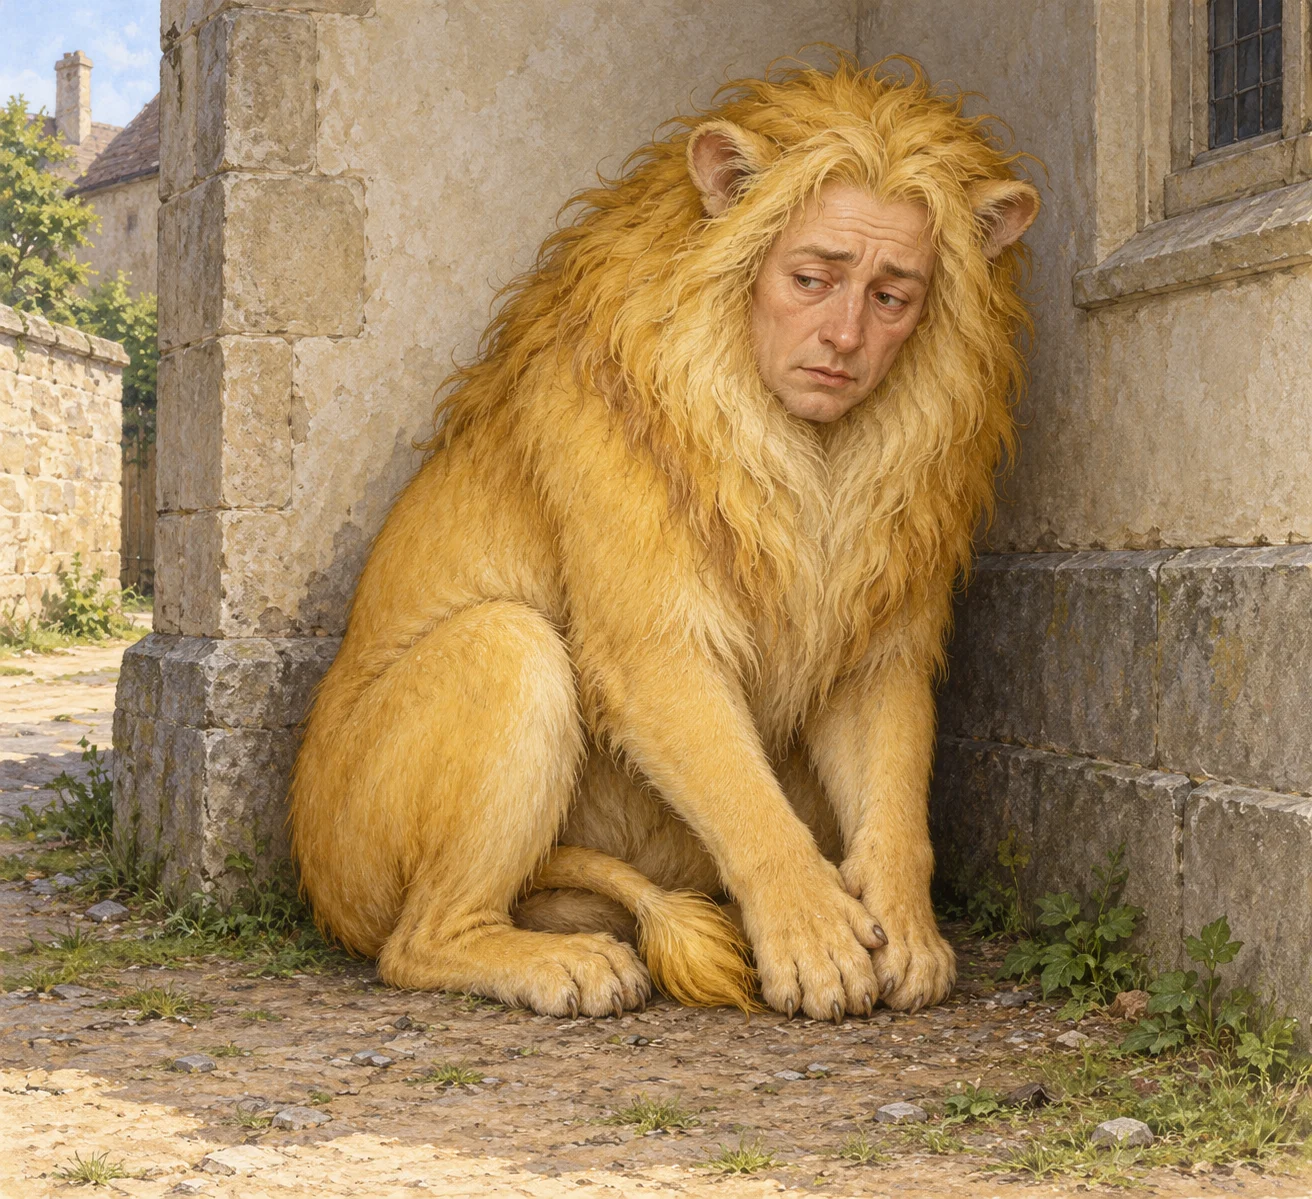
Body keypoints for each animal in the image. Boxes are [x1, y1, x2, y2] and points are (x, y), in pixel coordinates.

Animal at [289, 55, 1038, 1020]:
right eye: (812, 277)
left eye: (891, 294)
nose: (841, 346)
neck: (813, 451)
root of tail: (318, 877)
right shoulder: (652, 639)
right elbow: (742, 797)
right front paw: (818, 942)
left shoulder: (877, 633)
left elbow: (897, 801)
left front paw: (908, 933)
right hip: (495, 667)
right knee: (415, 939)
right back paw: (567, 966)